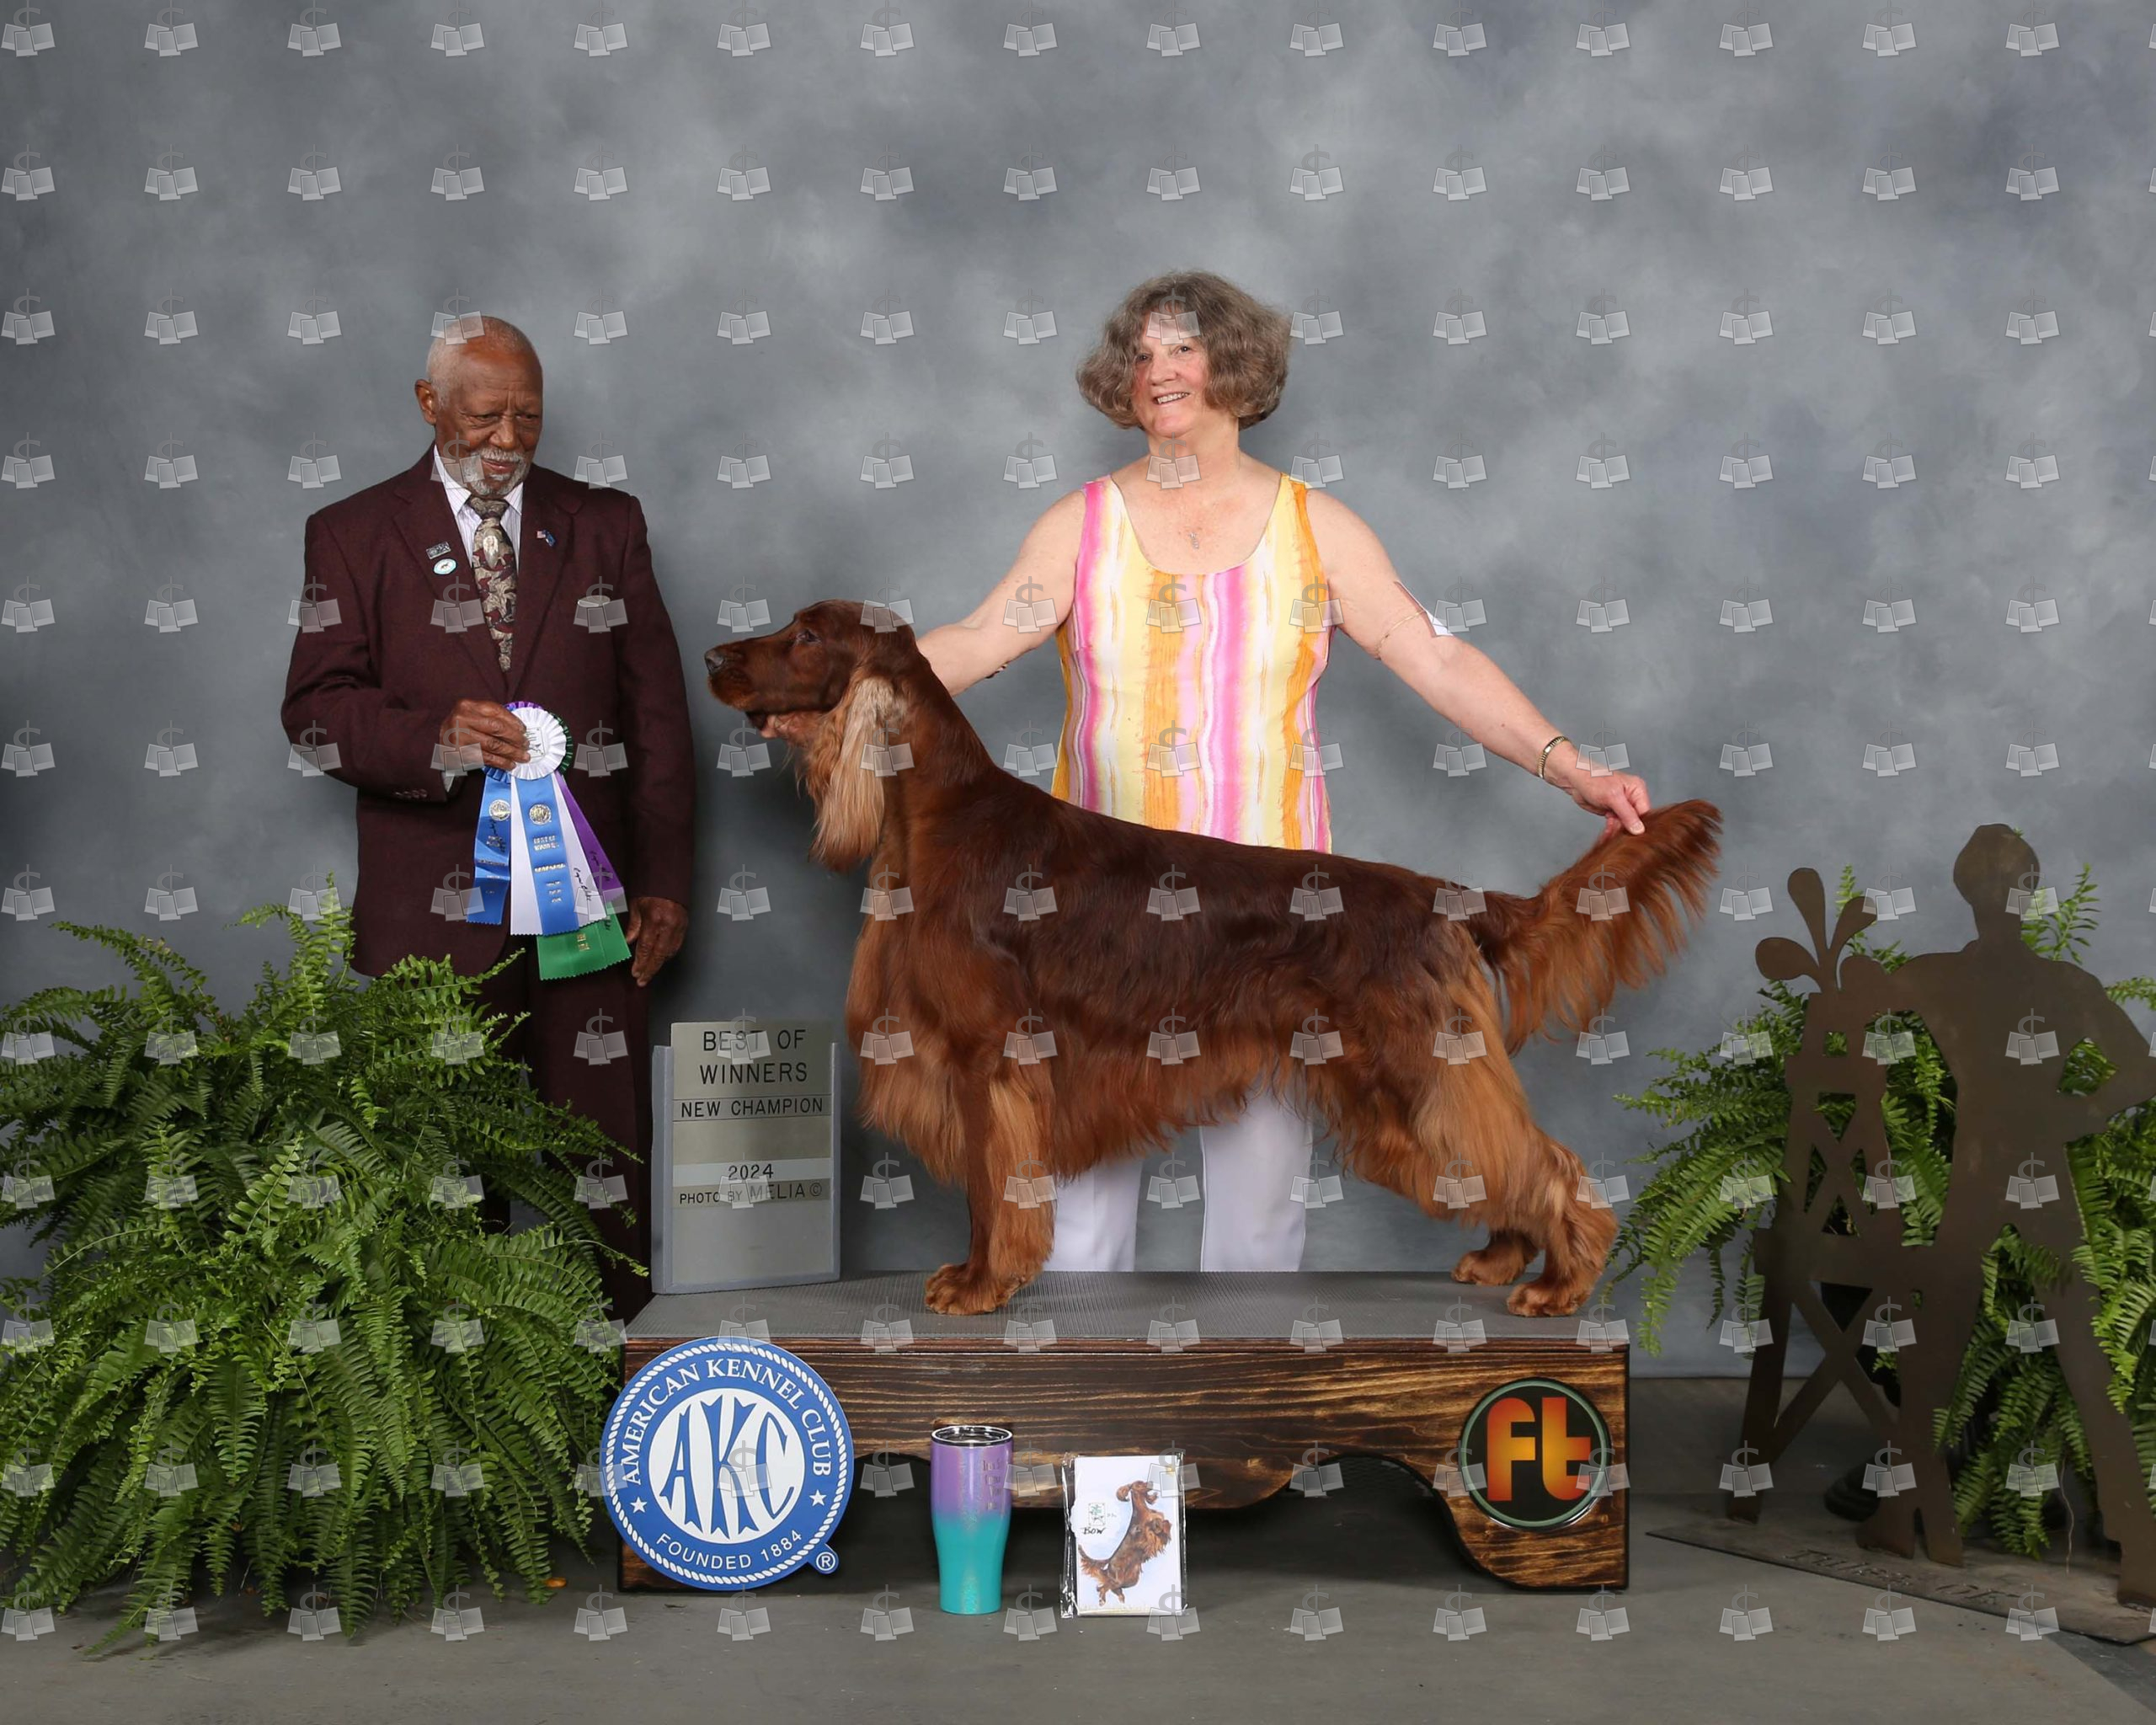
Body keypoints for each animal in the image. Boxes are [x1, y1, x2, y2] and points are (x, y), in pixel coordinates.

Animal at [1077, 1478, 1174, 1606]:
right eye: (1139, 1484)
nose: (1151, 1482)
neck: (1143, 1512)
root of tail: (1109, 1561)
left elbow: (1165, 1522)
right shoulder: (1145, 1536)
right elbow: (1154, 1527)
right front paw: (1156, 1526)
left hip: (1130, 1580)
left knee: (1113, 1589)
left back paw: (1121, 1602)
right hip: (1118, 1579)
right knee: (1104, 1587)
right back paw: (1102, 1601)